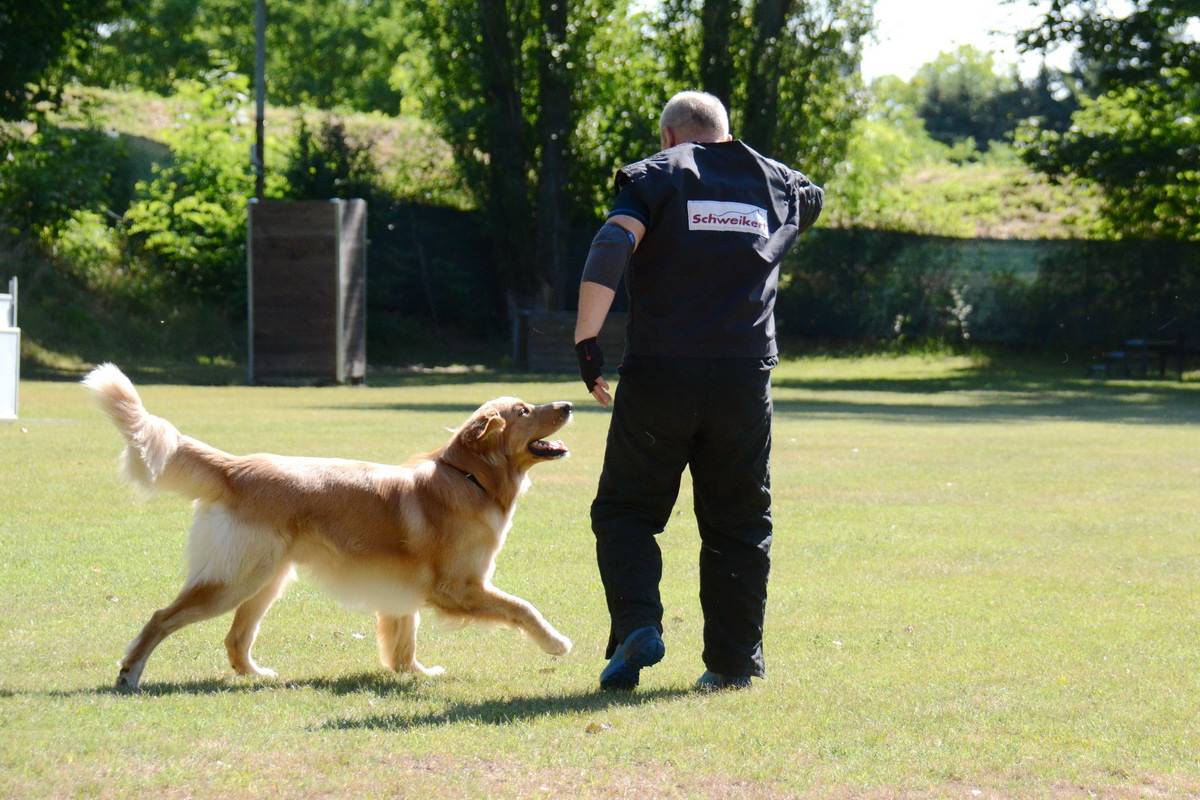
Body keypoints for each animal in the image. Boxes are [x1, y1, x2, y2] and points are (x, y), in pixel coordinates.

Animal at [82, 362, 573, 690]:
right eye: (524, 410)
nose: (569, 403)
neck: (469, 477)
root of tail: (237, 466)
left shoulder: (403, 591)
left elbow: (403, 644)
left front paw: (414, 673)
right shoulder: (459, 586)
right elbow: (523, 607)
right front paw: (556, 643)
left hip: (266, 580)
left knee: (236, 639)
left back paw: (257, 676)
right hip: (235, 579)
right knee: (162, 618)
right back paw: (129, 674)